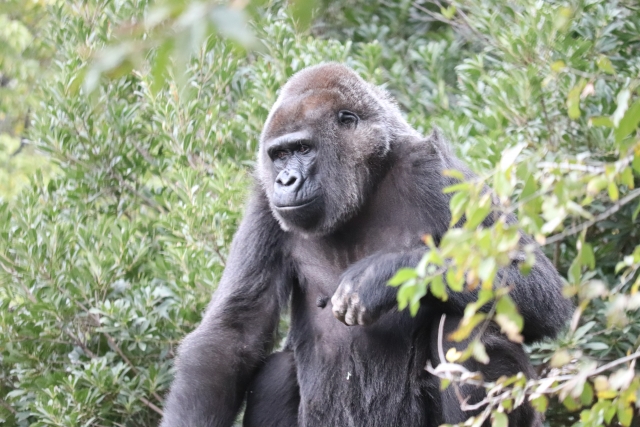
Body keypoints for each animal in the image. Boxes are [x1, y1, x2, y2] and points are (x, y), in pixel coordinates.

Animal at [162, 63, 572, 427]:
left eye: (303, 149)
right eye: (278, 155)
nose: (285, 180)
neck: (366, 181)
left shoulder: (437, 171)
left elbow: (539, 286)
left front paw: (381, 276)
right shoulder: (266, 203)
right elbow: (233, 334)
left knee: (468, 326)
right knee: (275, 370)